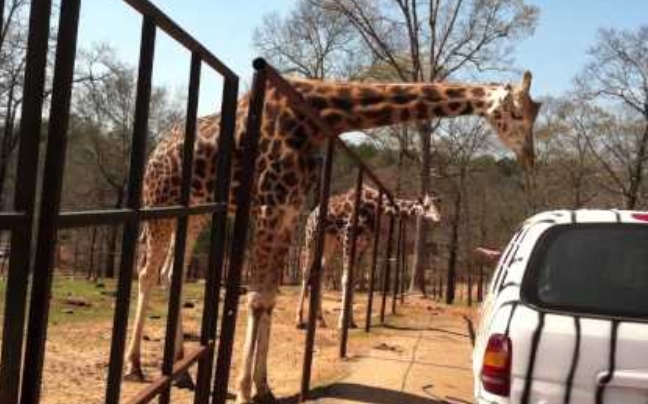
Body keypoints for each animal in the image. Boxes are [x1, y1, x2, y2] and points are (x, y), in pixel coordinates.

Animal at [294, 185, 440, 330]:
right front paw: (342, 323)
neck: (374, 206)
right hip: (311, 237)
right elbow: (346, 279)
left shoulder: (363, 244)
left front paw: (351, 322)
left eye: (437, 206)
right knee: (306, 272)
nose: (438, 219)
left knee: (320, 271)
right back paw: (299, 320)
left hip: (330, 242)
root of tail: (311, 214)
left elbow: (353, 280)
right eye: (427, 206)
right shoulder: (348, 237)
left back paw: (321, 320)